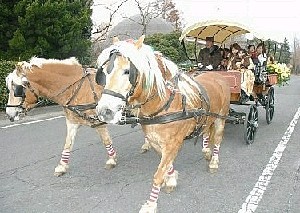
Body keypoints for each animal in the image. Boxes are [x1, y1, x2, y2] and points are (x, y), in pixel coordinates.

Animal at [95, 35, 231, 212]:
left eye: (127, 71)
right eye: (104, 72)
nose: (105, 111)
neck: (164, 103)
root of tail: (217, 76)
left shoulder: (173, 143)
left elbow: (158, 174)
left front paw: (151, 204)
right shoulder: (156, 142)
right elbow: (166, 166)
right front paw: (171, 178)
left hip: (221, 117)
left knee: (218, 138)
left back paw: (214, 161)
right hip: (207, 118)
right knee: (207, 131)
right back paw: (206, 151)